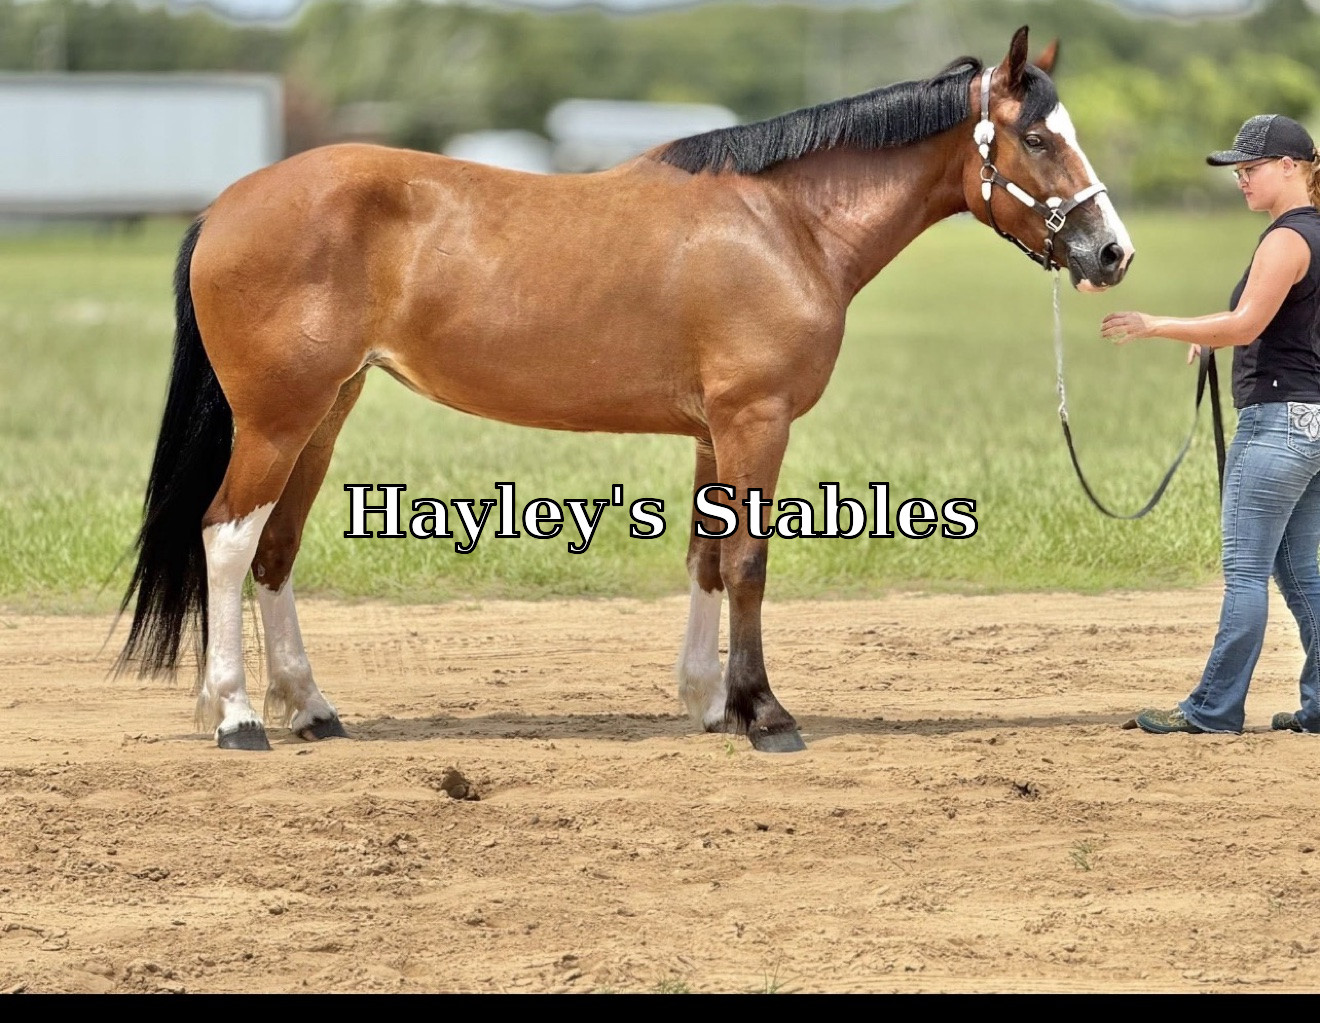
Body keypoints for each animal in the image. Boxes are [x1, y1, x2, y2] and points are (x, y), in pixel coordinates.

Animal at [116, 26, 1133, 753]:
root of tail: (228, 206)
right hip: (277, 418)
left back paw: (310, 708)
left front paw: (708, 703)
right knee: (226, 536)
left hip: (322, 415)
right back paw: (237, 716)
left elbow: (705, 559)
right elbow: (749, 561)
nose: (1112, 253)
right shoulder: (755, 421)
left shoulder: (713, 432)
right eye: (1037, 137)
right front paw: (765, 714)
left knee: (275, 550)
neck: (784, 223)